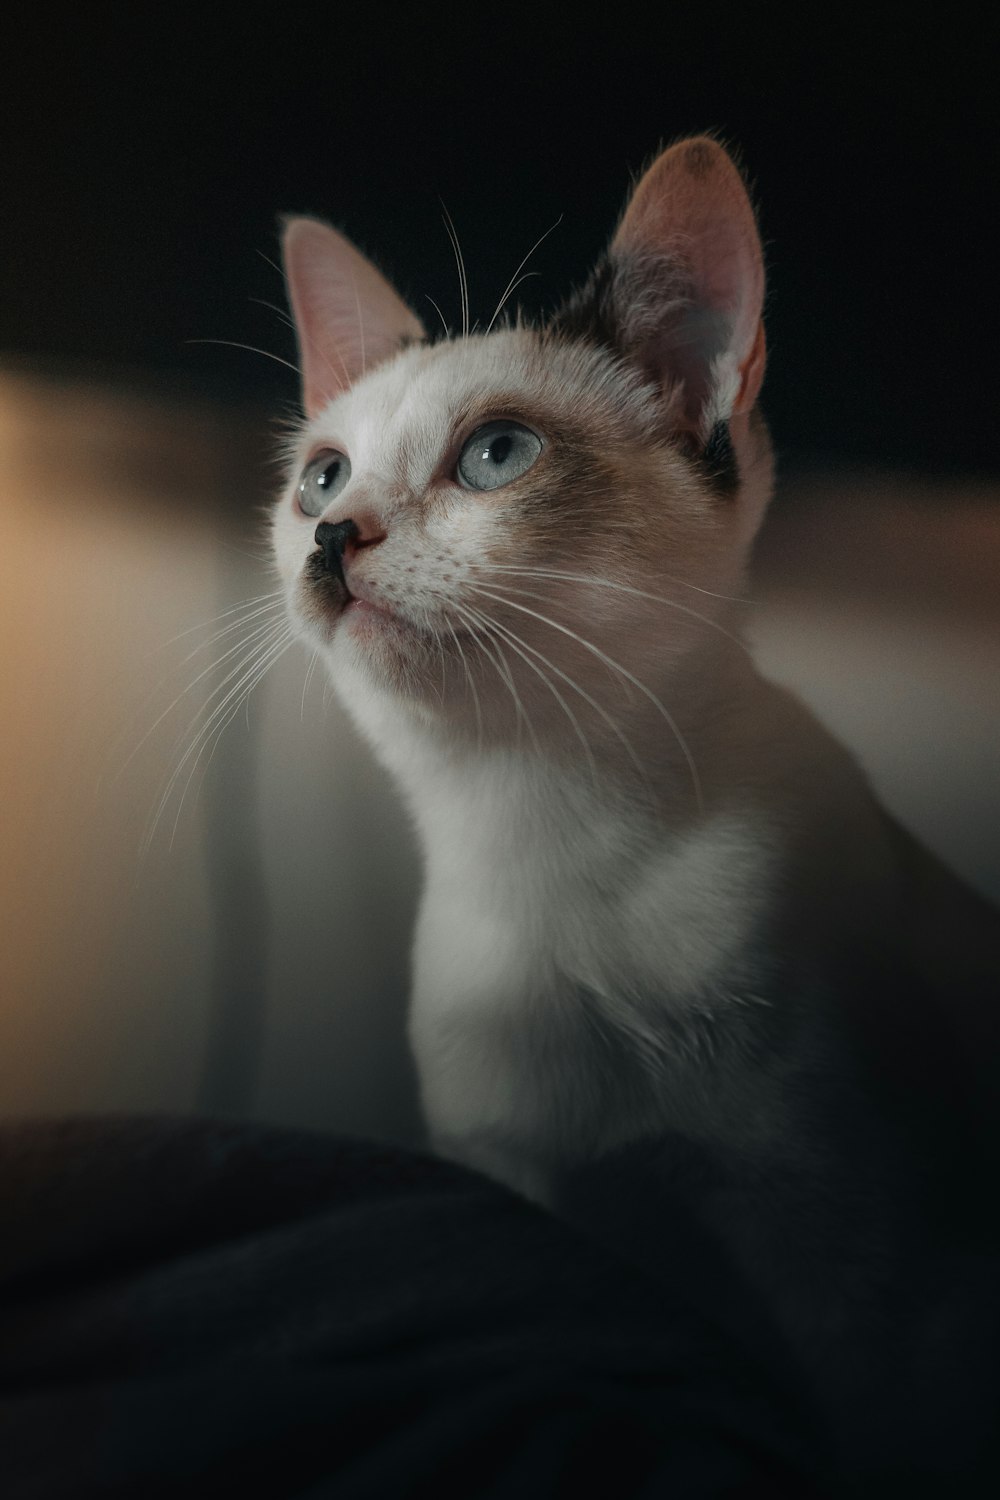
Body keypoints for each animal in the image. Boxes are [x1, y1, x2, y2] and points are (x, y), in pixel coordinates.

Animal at [269, 138, 1000, 1488]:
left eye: (496, 455)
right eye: (320, 477)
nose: (331, 538)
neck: (539, 844)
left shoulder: (871, 1269)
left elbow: (877, 1428)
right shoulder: (548, 1213)